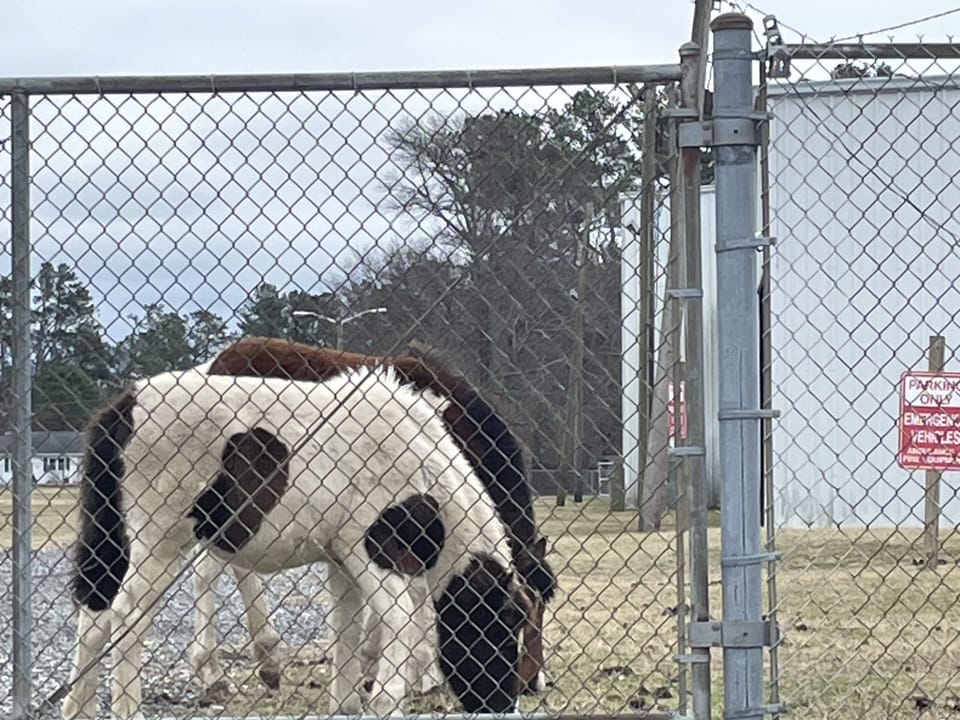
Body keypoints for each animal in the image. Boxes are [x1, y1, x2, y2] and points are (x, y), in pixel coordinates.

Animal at [62, 366, 530, 719]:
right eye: (502, 627)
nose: (501, 703)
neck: (423, 473)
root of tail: (125, 407)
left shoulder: (343, 563)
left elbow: (347, 633)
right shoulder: (375, 558)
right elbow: (399, 623)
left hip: (119, 541)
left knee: (95, 615)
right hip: (161, 542)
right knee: (126, 617)